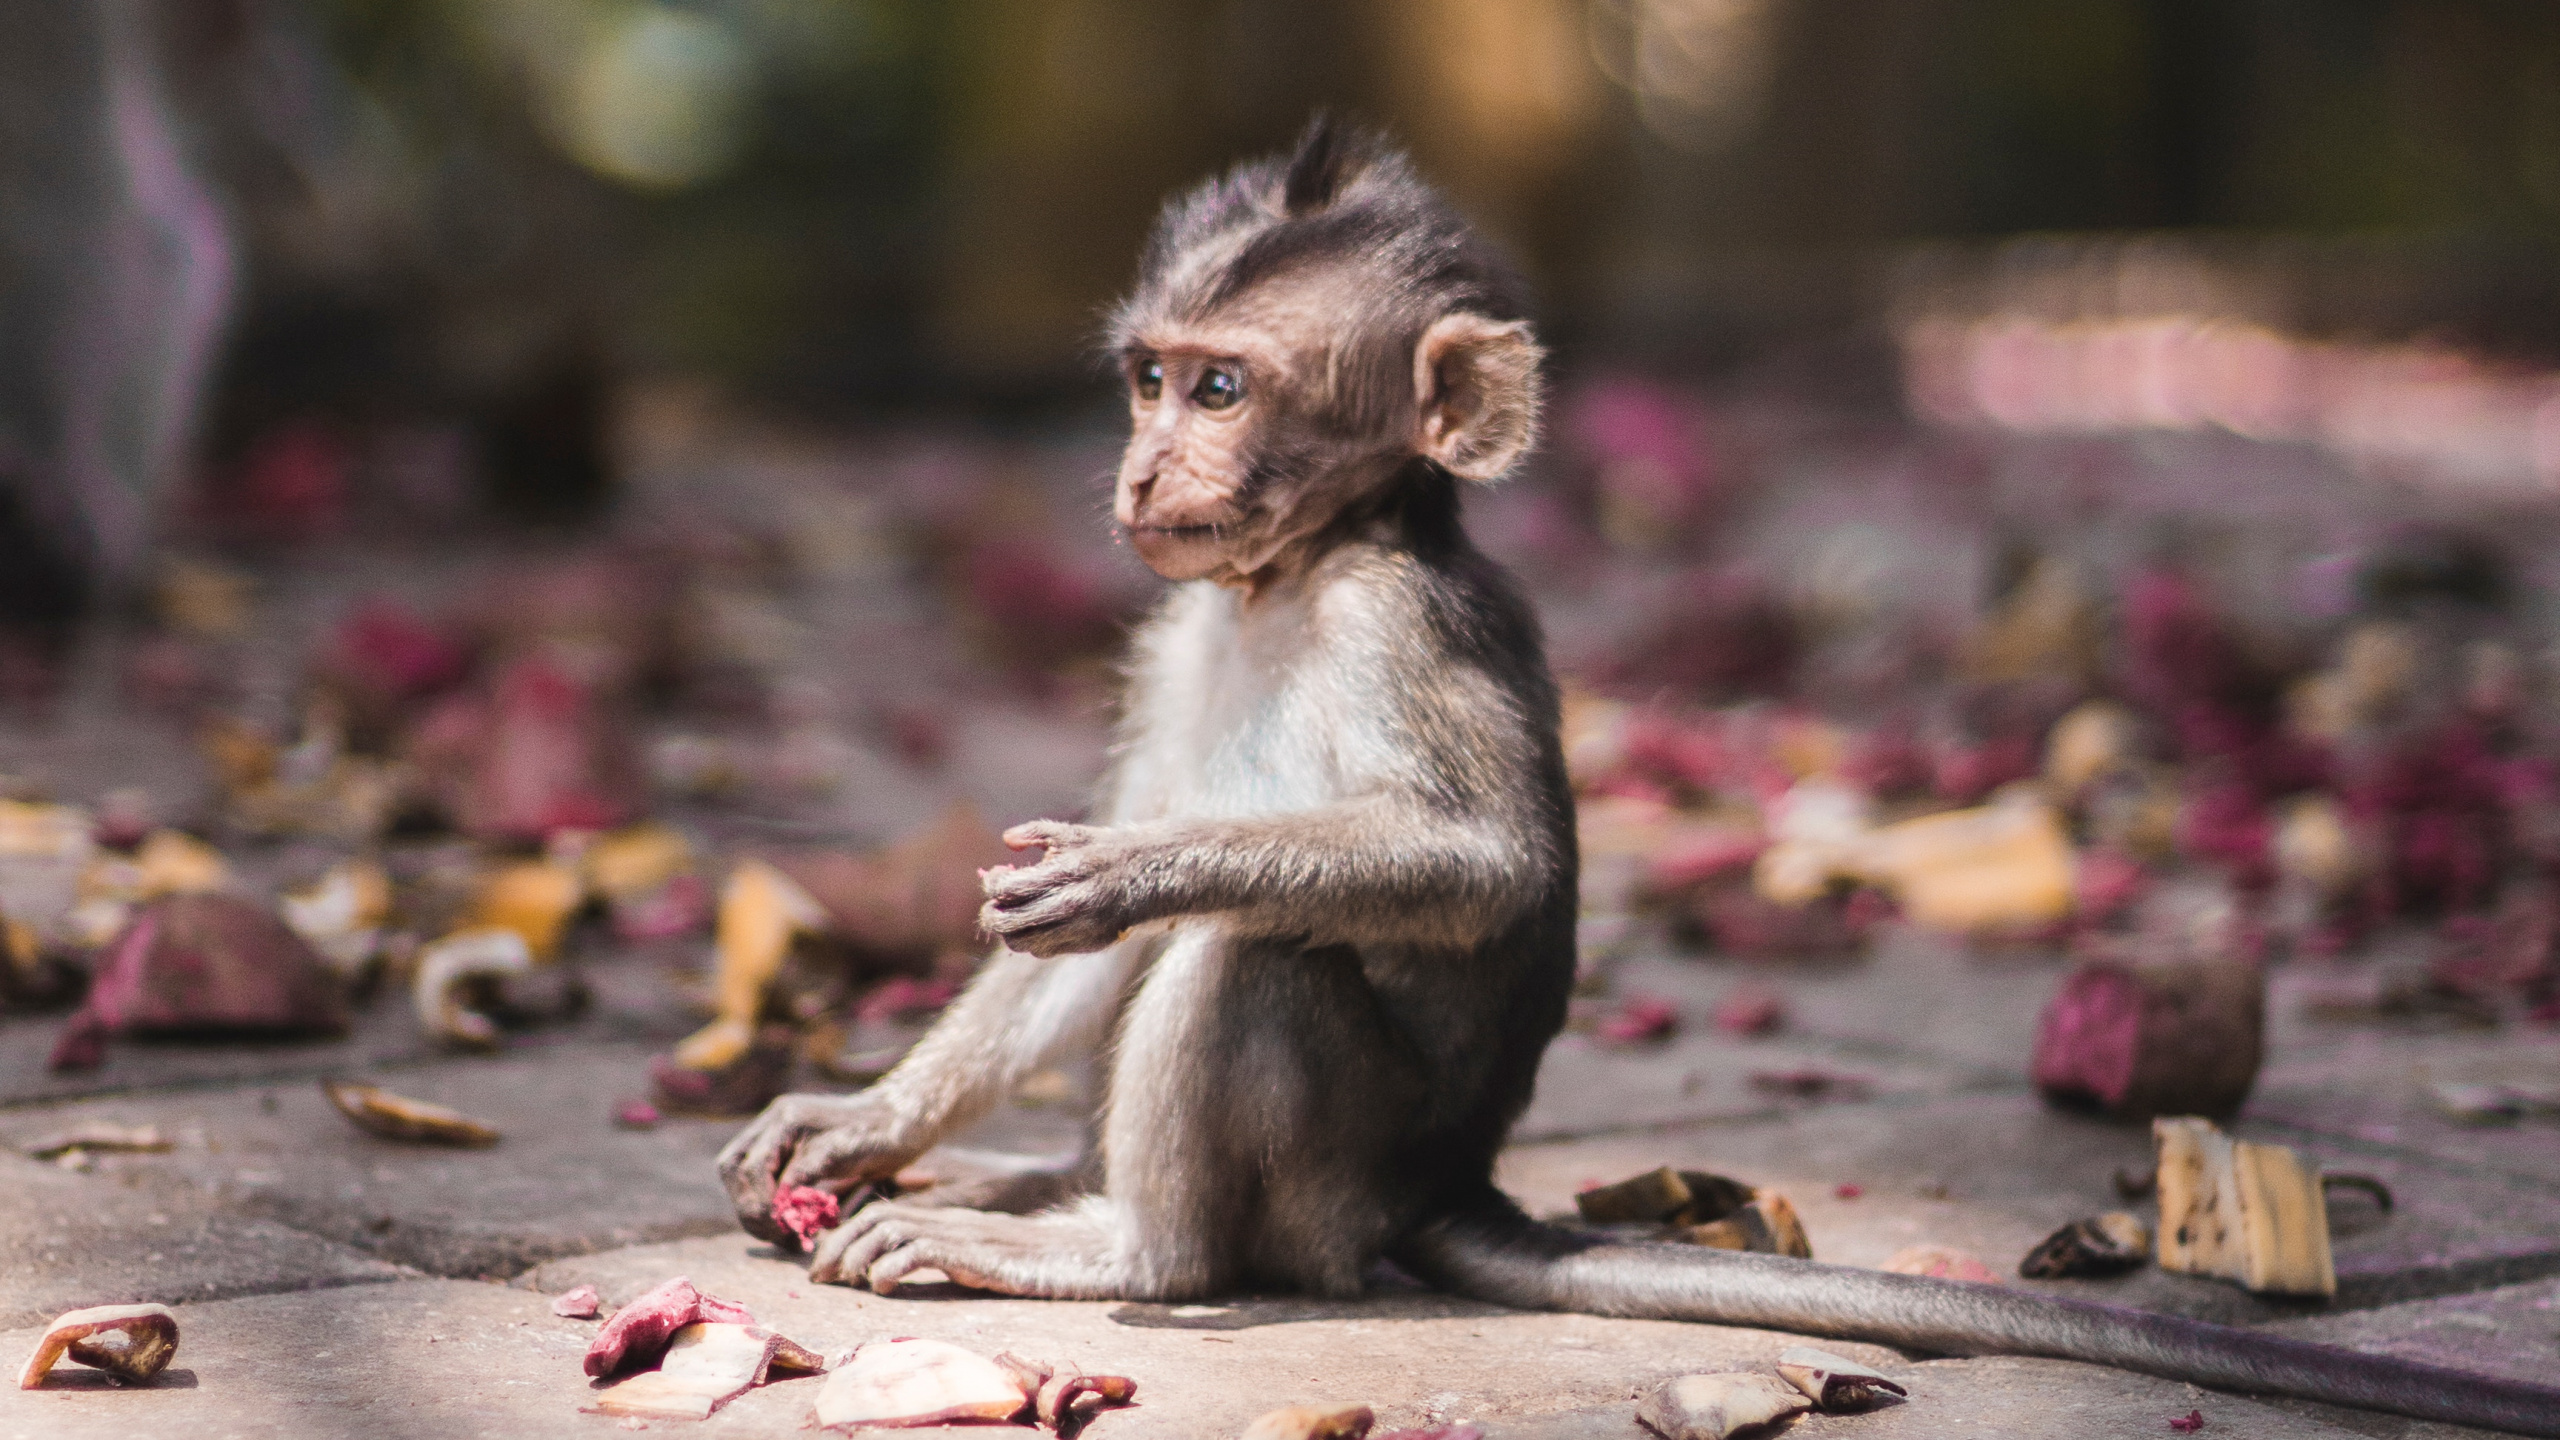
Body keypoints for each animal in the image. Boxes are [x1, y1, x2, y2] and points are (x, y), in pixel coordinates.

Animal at [727, 122, 2560, 1434]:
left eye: (1225, 387)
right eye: (1149, 377)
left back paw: (1115, 1243)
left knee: (1257, 957)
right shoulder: (1182, 625)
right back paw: (1022, 1179)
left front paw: (1136, 875)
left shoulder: (1404, 624)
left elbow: (1478, 869)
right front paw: (864, 1112)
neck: (1301, 571)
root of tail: (1448, 1180)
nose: (1140, 468)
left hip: (1338, 1179)